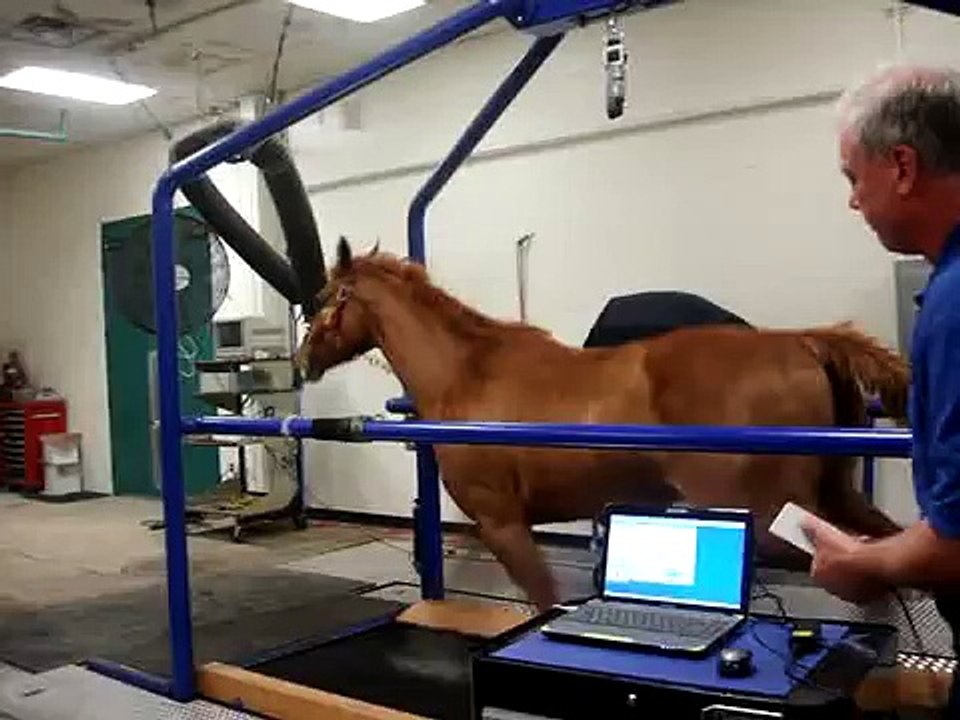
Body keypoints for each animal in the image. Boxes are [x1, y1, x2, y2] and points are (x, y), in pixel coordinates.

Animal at [297, 237, 909, 611]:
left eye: (327, 298)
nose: (303, 360)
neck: (467, 375)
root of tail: (803, 341)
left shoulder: (503, 524)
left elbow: (543, 603)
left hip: (777, 520)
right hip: (832, 499)